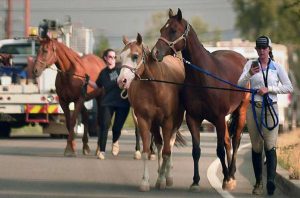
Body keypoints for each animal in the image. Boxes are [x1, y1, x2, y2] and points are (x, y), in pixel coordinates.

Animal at [117, 33, 185, 191]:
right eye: (120, 57)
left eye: (135, 56)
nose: (121, 81)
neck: (155, 86)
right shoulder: (144, 119)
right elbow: (147, 150)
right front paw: (145, 182)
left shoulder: (168, 121)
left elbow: (167, 151)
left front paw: (163, 179)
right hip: (154, 123)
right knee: (159, 144)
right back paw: (160, 171)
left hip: (175, 121)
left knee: (169, 144)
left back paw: (168, 175)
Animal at [151, 8, 250, 191]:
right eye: (162, 29)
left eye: (173, 30)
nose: (155, 53)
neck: (202, 77)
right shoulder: (193, 119)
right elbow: (196, 151)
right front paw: (196, 181)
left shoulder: (218, 118)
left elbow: (219, 150)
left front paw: (226, 179)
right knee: (228, 141)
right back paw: (229, 175)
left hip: (241, 111)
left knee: (235, 141)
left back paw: (231, 175)